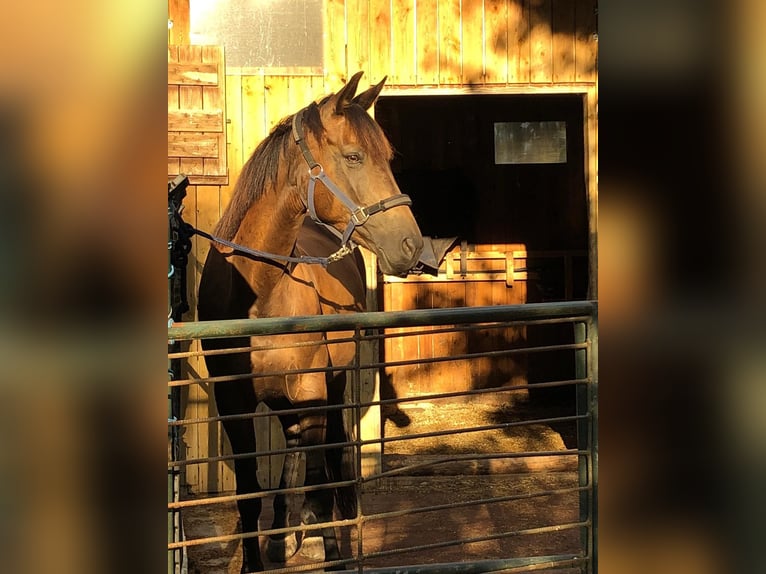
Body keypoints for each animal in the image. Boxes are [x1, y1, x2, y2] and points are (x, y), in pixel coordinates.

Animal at [198, 74, 426, 572]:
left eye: (388, 157)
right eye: (354, 156)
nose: (411, 245)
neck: (259, 292)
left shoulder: (312, 389)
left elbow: (320, 488)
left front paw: (333, 553)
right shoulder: (233, 402)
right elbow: (248, 495)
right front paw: (255, 559)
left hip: (330, 386)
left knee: (326, 459)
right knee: (292, 449)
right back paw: (280, 537)